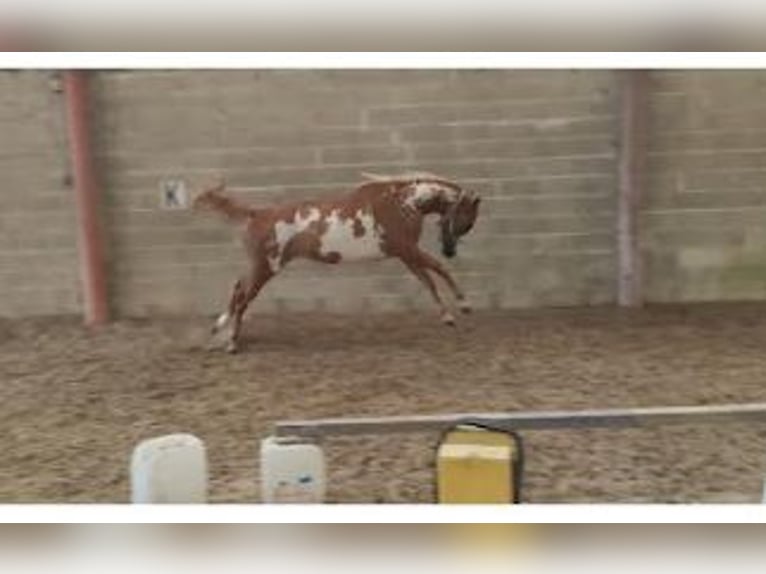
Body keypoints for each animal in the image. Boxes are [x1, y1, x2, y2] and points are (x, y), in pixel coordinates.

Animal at [192, 172, 481, 352]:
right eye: (467, 219)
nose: (450, 250)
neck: (403, 203)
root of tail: (257, 214)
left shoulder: (405, 255)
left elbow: (428, 281)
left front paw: (448, 316)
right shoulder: (408, 250)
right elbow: (439, 270)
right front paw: (464, 306)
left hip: (260, 267)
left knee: (237, 290)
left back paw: (218, 332)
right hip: (265, 268)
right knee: (243, 298)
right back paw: (231, 343)